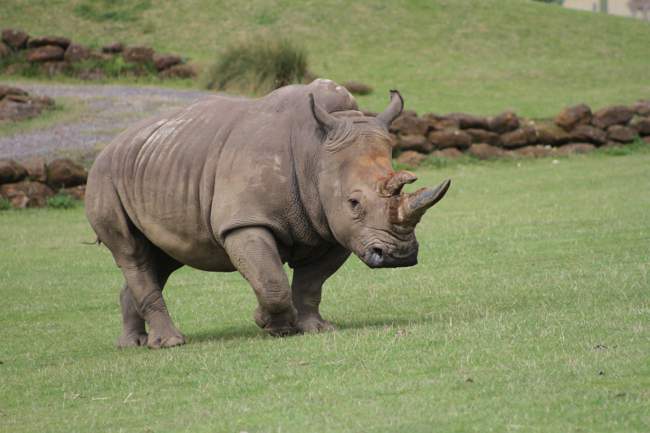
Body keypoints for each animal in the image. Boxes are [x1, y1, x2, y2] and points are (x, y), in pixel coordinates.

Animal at [85, 79, 451, 349]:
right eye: (354, 203)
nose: (398, 256)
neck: (314, 151)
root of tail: (110, 144)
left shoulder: (336, 229)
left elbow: (311, 283)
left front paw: (315, 328)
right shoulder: (246, 221)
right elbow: (271, 280)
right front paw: (273, 325)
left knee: (162, 256)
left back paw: (133, 344)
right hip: (104, 176)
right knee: (131, 252)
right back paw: (170, 343)